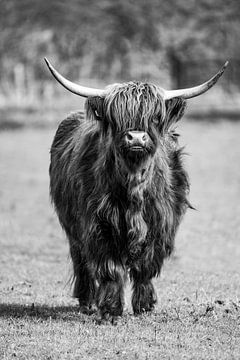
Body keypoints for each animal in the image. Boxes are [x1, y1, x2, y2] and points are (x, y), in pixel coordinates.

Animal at [44, 57, 227, 322]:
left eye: (155, 117)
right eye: (117, 116)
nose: (137, 138)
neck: (134, 185)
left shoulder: (161, 225)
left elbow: (145, 268)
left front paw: (144, 306)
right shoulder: (99, 226)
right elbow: (110, 269)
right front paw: (110, 310)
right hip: (72, 225)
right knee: (81, 260)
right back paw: (87, 302)